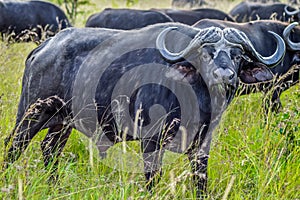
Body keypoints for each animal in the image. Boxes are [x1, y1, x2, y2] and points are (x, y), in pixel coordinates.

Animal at [4, 22, 284, 197]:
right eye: (206, 53)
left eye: (237, 55)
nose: (224, 76)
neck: (196, 97)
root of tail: (44, 48)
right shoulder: (150, 140)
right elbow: (152, 177)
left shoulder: (201, 144)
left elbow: (200, 179)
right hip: (30, 115)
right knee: (13, 147)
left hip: (61, 123)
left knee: (49, 151)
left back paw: (56, 187)